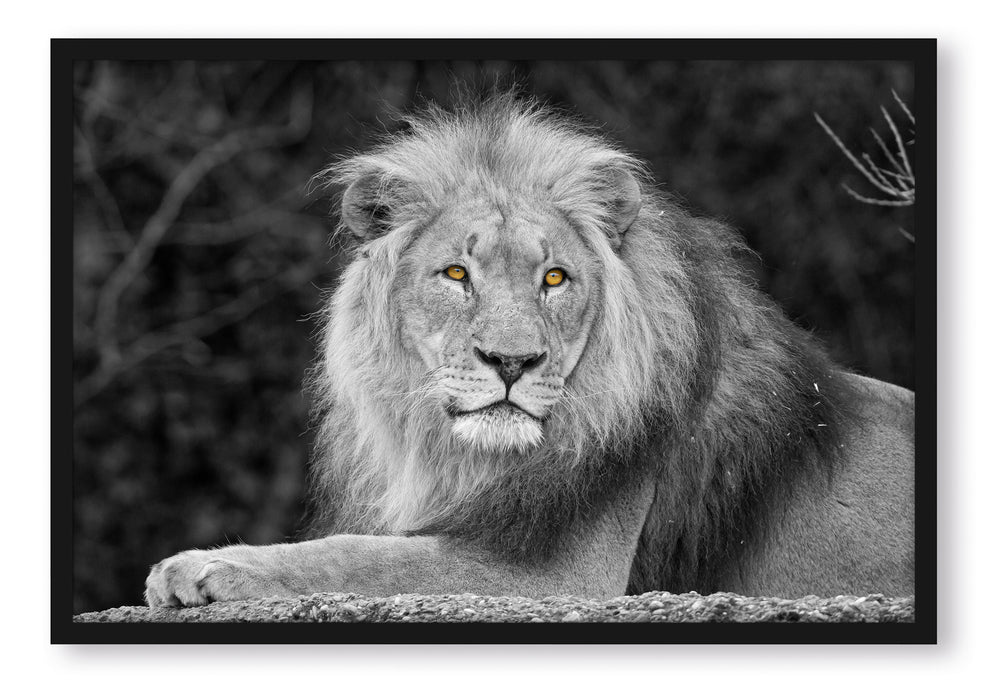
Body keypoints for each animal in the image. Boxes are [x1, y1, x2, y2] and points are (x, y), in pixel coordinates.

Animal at [144, 95, 914, 608]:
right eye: (457, 274)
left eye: (554, 279)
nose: (512, 364)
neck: (461, 458)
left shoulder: (554, 575)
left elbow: (357, 557)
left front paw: (206, 567)